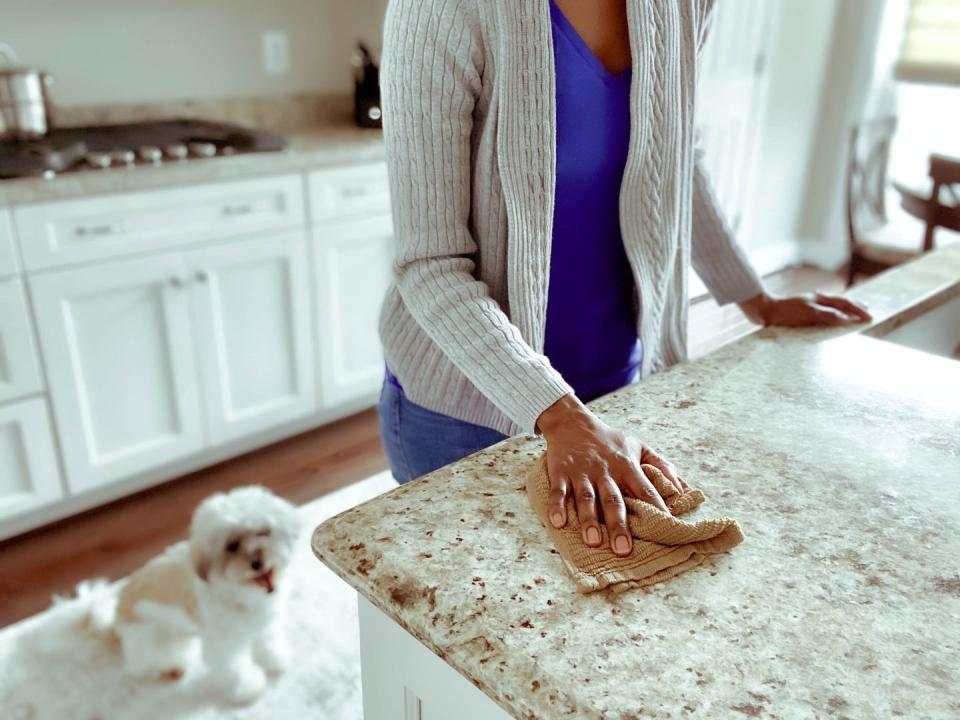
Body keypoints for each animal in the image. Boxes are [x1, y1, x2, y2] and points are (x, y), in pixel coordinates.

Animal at [71, 484, 298, 704]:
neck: (241, 590)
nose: (258, 562)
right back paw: (171, 669)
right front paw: (247, 688)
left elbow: (268, 641)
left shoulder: (263, 622)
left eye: (263, 532)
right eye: (231, 545)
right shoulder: (224, 642)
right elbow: (234, 667)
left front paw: (274, 659)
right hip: (152, 641)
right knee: (142, 665)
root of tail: (115, 622)